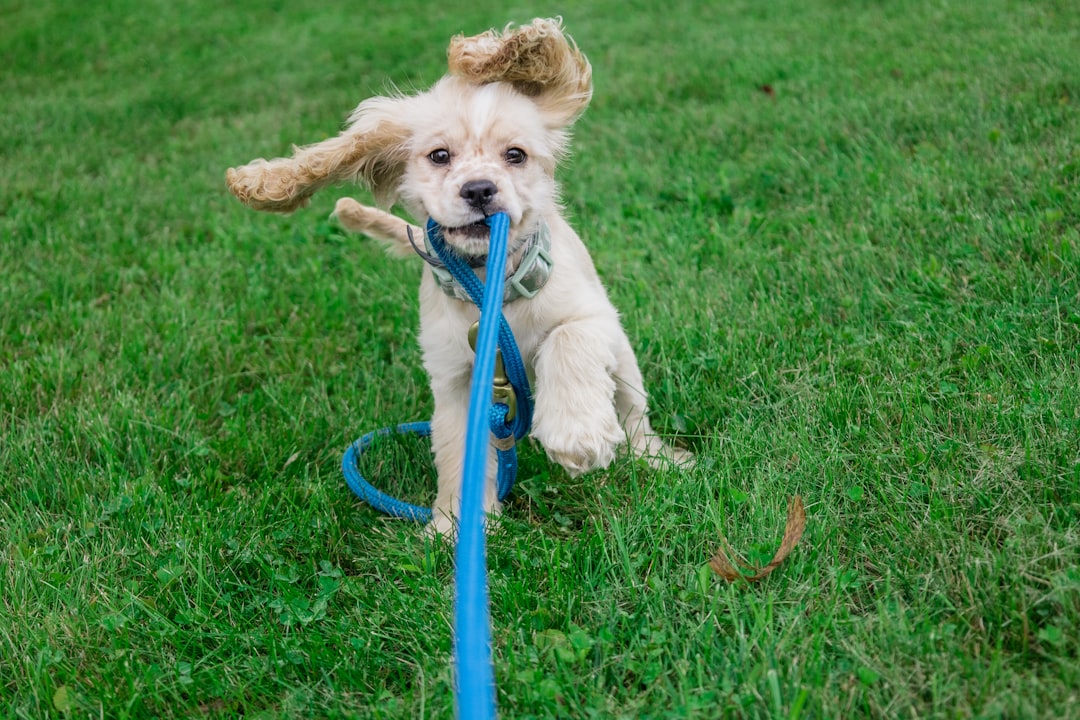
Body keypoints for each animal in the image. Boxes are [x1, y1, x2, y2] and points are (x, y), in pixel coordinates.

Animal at [225, 16, 691, 537]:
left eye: (516, 155)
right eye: (439, 156)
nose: (480, 190)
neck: (489, 283)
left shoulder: (595, 316)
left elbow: (567, 339)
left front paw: (577, 432)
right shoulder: (455, 379)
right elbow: (457, 452)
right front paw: (453, 526)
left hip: (625, 364)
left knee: (634, 417)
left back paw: (657, 458)